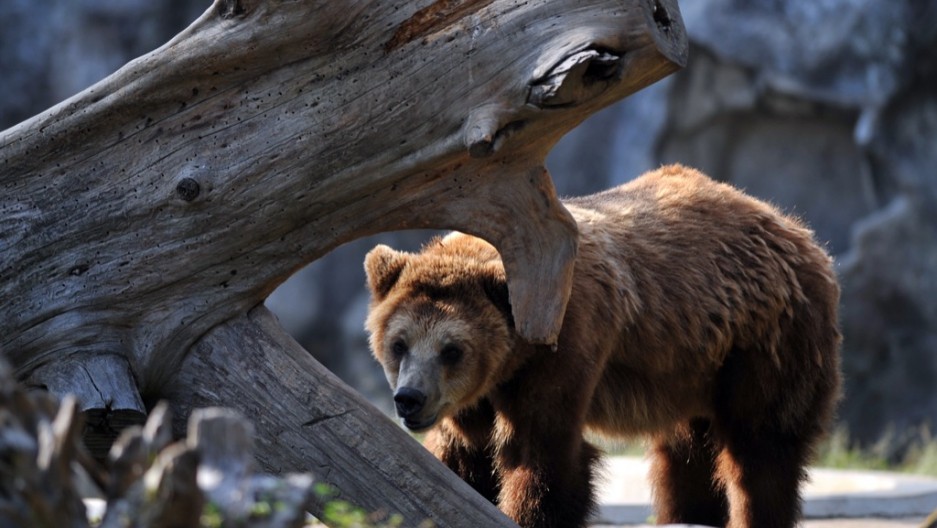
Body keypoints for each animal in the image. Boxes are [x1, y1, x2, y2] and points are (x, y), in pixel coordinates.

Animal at [363, 164, 841, 528]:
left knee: (760, 452)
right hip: (691, 363)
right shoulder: (476, 398)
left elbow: (543, 455)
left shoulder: (568, 340)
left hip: (764, 344)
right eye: (399, 344)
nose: (409, 398)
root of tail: (799, 231)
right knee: (685, 456)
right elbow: (465, 455)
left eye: (452, 349)